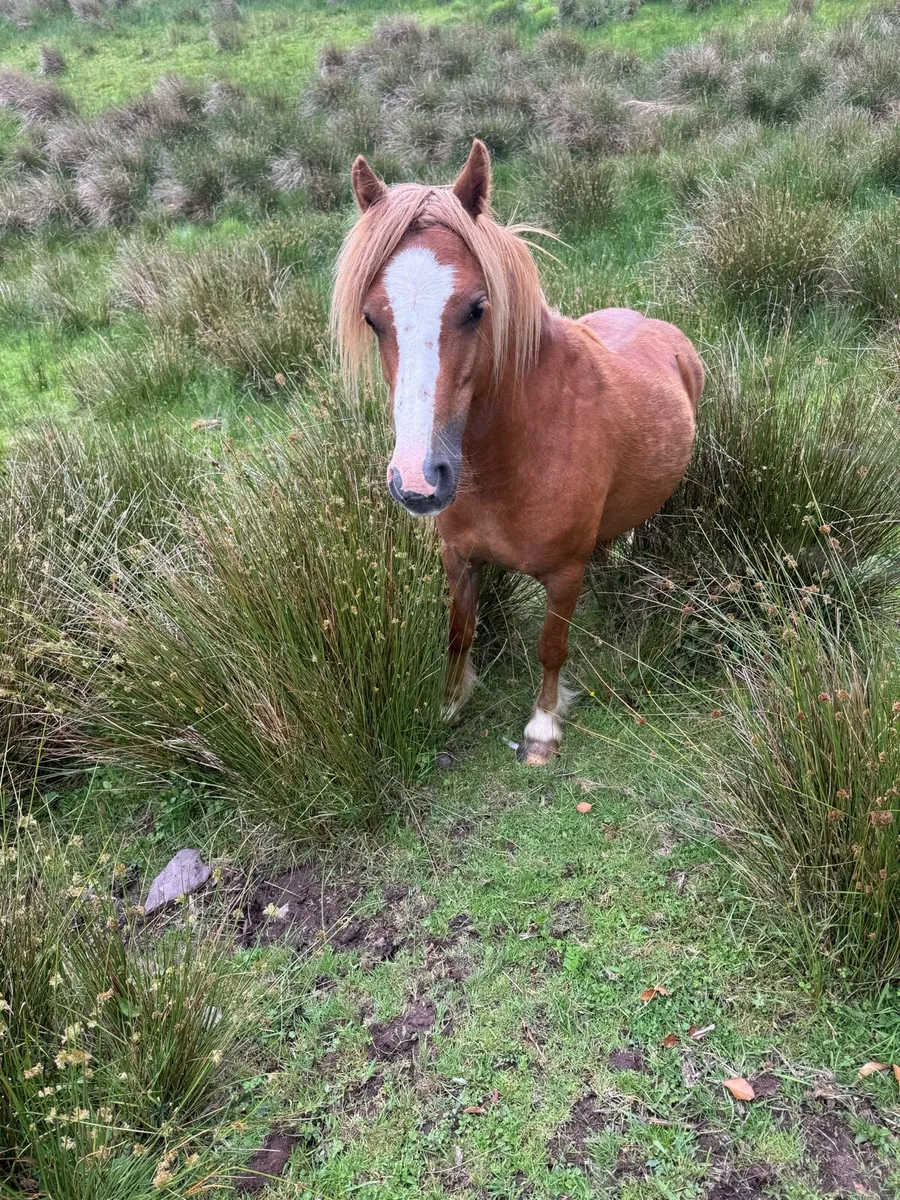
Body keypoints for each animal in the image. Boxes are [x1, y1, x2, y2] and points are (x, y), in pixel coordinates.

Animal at [332, 139, 703, 765]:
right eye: (372, 318)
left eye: (477, 307)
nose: (417, 482)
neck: (513, 454)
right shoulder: (460, 558)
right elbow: (460, 632)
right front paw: (451, 703)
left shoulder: (564, 571)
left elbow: (552, 646)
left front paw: (543, 727)